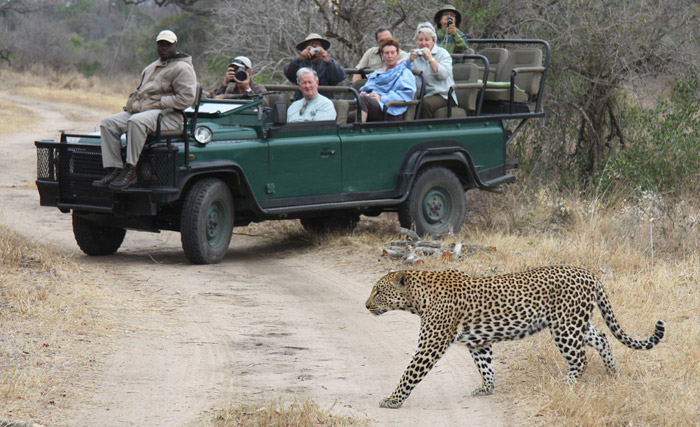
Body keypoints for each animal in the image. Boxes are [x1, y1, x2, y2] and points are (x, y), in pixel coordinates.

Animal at [365, 266, 665, 408]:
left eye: (378, 291)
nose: (366, 306)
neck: (417, 299)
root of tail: (589, 273)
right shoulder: (479, 342)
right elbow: (486, 366)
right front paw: (486, 389)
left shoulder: (431, 344)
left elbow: (409, 373)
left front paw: (392, 400)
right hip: (576, 322)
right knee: (601, 337)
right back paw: (613, 373)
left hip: (564, 327)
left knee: (580, 358)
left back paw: (567, 382)